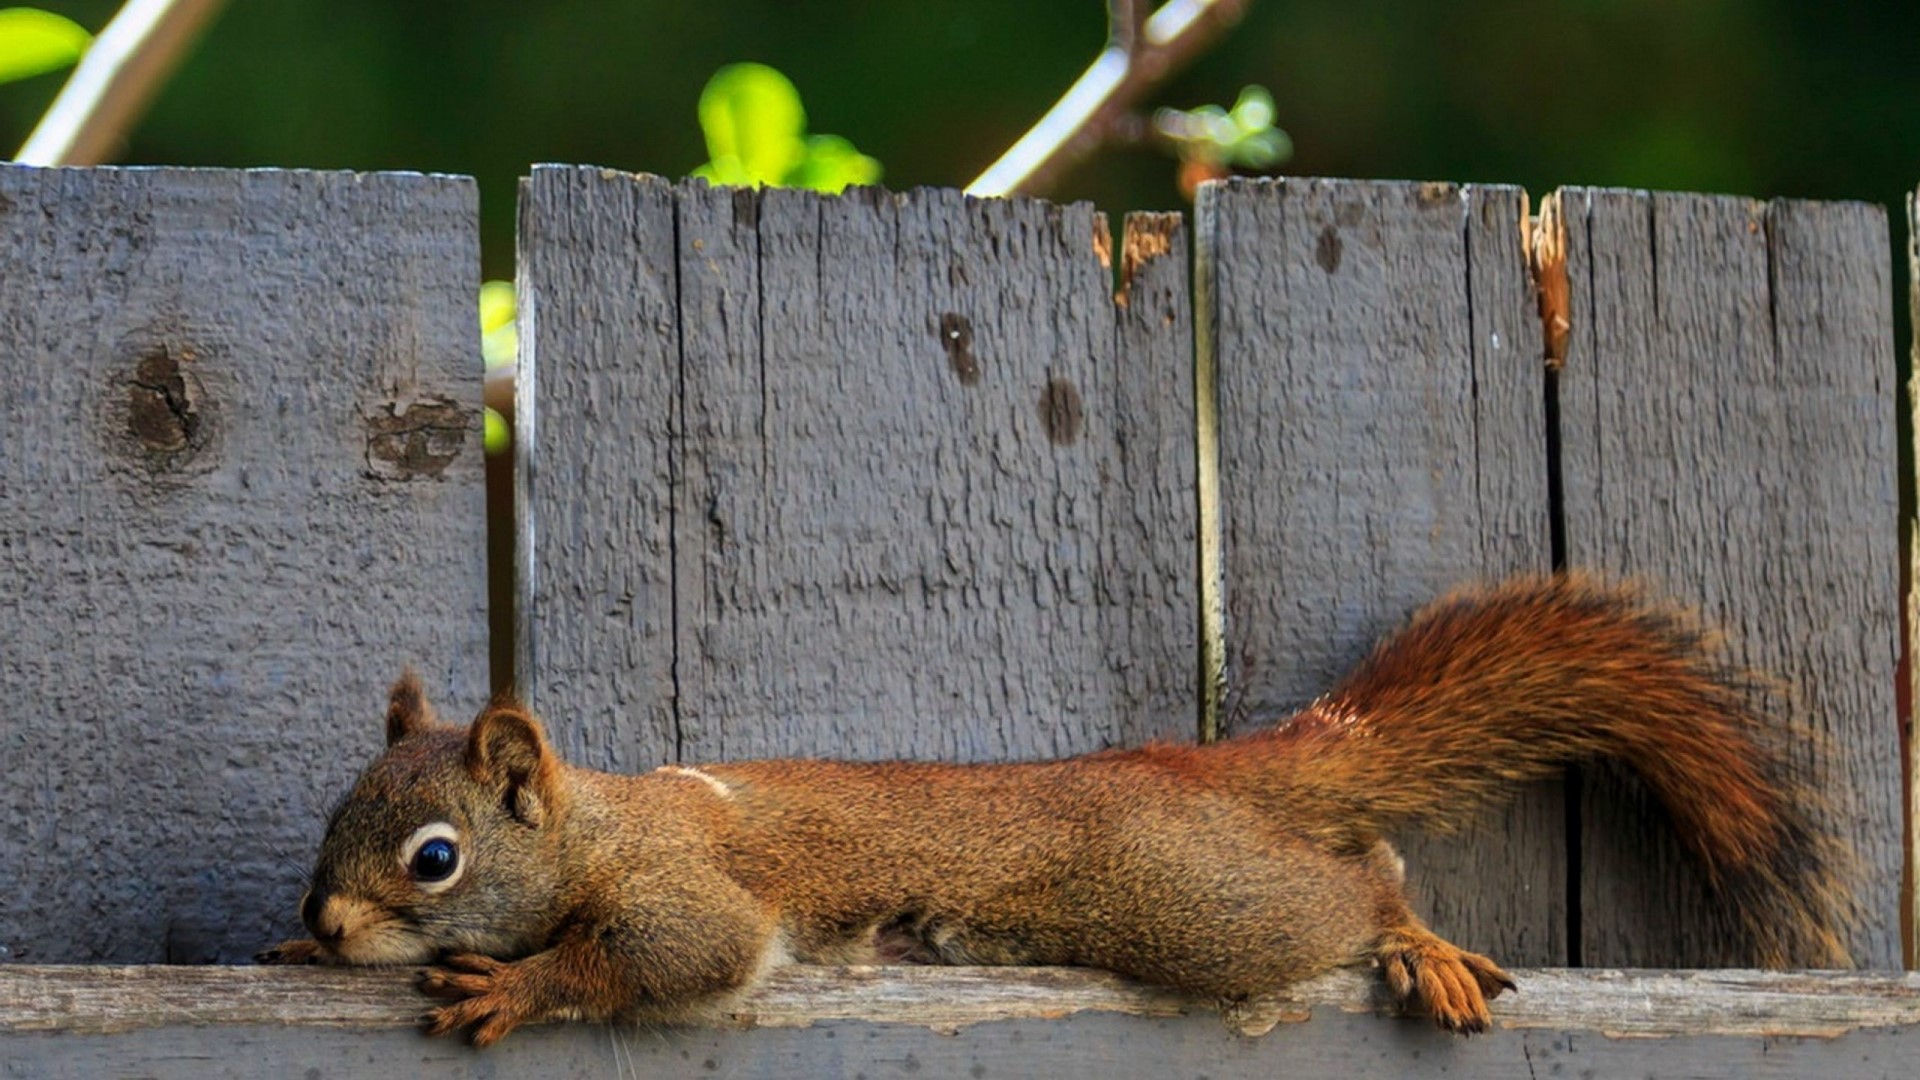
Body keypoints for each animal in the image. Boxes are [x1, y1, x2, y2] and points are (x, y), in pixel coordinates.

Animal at [259, 574, 1854, 1047]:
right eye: (334, 813)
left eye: (436, 857)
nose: (324, 922)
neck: (593, 824)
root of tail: (1177, 767)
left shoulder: (683, 888)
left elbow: (669, 957)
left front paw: (514, 986)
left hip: (1200, 905)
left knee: (1356, 888)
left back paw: (1416, 944)